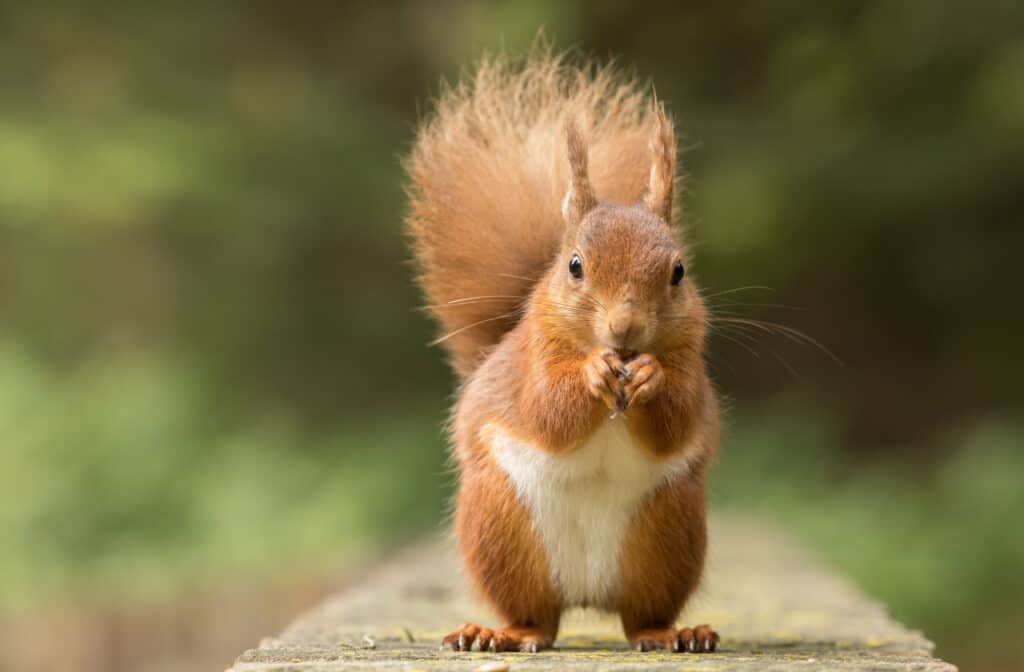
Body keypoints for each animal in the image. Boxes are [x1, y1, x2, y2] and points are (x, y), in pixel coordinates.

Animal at [401, 48, 720, 655]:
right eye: (574, 266)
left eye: (678, 272)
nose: (624, 328)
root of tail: (587, 594)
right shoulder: (530, 363)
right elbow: (546, 410)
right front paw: (592, 373)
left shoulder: (692, 364)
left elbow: (677, 417)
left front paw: (650, 377)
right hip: (501, 530)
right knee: (536, 619)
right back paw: (497, 632)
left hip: (669, 532)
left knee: (639, 616)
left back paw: (675, 631)